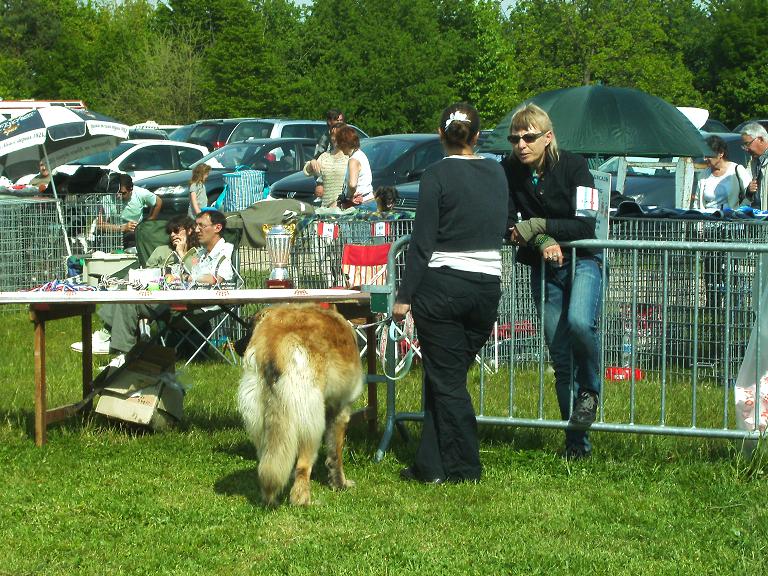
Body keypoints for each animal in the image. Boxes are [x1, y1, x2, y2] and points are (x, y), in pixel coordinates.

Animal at [237, 304, 364, 506]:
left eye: (249, 328)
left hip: (259, 418)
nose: (235, 345)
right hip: (311, 422)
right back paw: (303, 500)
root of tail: (274, 342)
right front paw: (340, 484)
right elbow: (336, 454)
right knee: (303, 466)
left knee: (268, 461)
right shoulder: (340, 411)